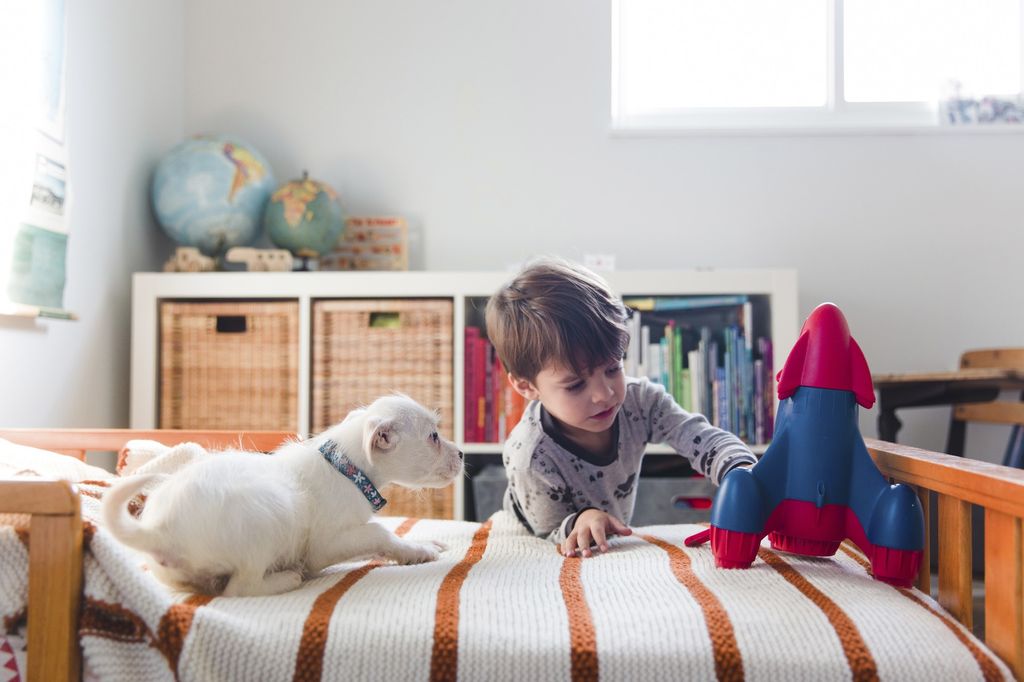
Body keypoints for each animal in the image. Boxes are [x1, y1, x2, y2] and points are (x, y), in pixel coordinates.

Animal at [100, 393, 464, 593]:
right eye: (433, 436)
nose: (462, 454)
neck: (347, 468)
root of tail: (157, 530)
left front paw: (421, 545)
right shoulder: (327, 545)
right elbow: (379, 533)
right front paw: (417, 550)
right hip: (269, 518)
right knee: (240, 589)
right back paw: (287, 579)